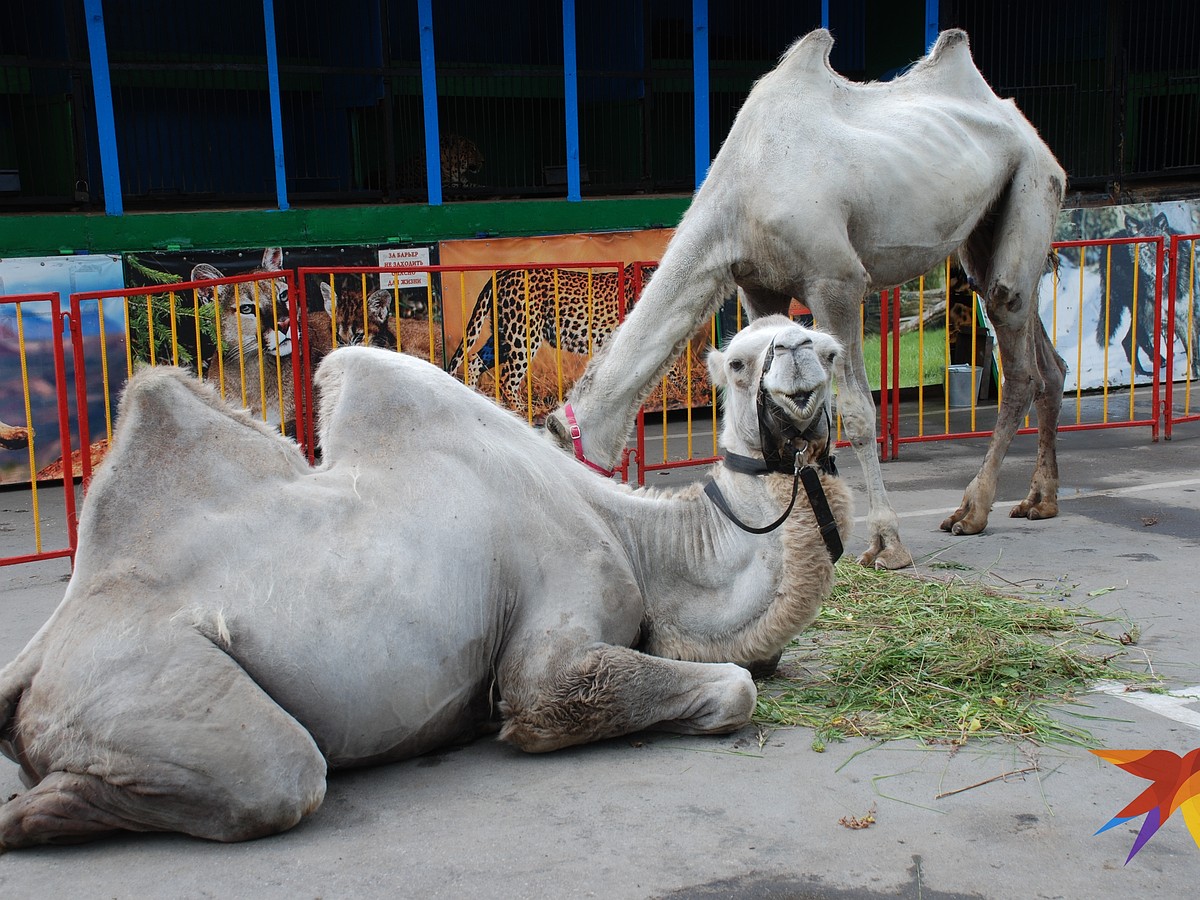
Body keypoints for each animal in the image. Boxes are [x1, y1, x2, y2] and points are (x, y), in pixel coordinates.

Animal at [0, 319, 854, 854]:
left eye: (831, 350)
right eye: (739, 361)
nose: (798, 359)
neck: (638, 538)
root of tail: (38, 657)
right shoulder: (558, 624)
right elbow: (718, 686)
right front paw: (516, 727)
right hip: (140, 683)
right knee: (279, 777)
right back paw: (27, 817)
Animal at [547, 28, 1070, 571]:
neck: (738, 197)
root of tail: (1027, 128)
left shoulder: (836, 281)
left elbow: (856, 413)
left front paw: (886, 543)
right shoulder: (759, 285)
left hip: (1032, 185)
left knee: (1018, 353)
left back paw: (973, 510)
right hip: (987, 232)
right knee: (1046, 360)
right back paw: (1040, 499)